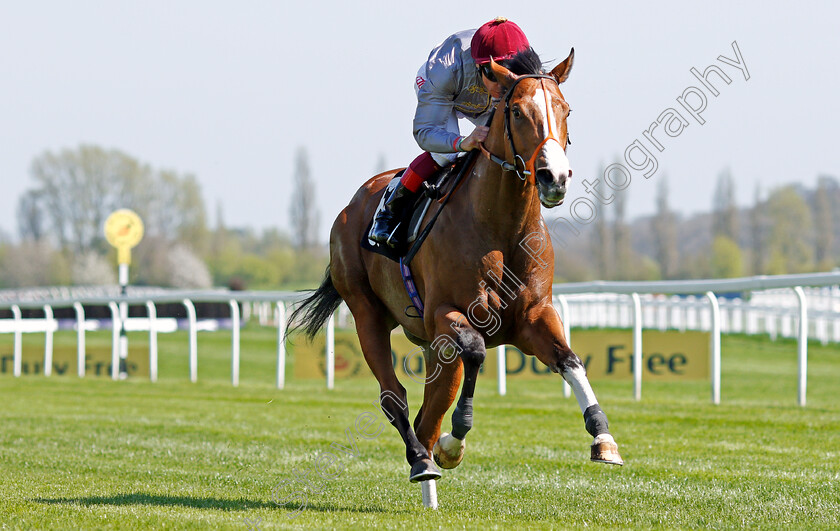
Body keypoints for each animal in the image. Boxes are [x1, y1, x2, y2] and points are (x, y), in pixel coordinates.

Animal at [288, 48, 624, 486]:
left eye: (565, 109)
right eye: (518, 112)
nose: (555, 177)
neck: (501, 227)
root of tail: (352, 205)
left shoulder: (532, 317)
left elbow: (570, 360)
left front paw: (603, 438)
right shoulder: (447, 314)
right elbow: (477, 351)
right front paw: (454, 442)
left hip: (433, 348)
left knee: (427, 414)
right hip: (367, 313)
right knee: (395, 397)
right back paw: (422, 460)